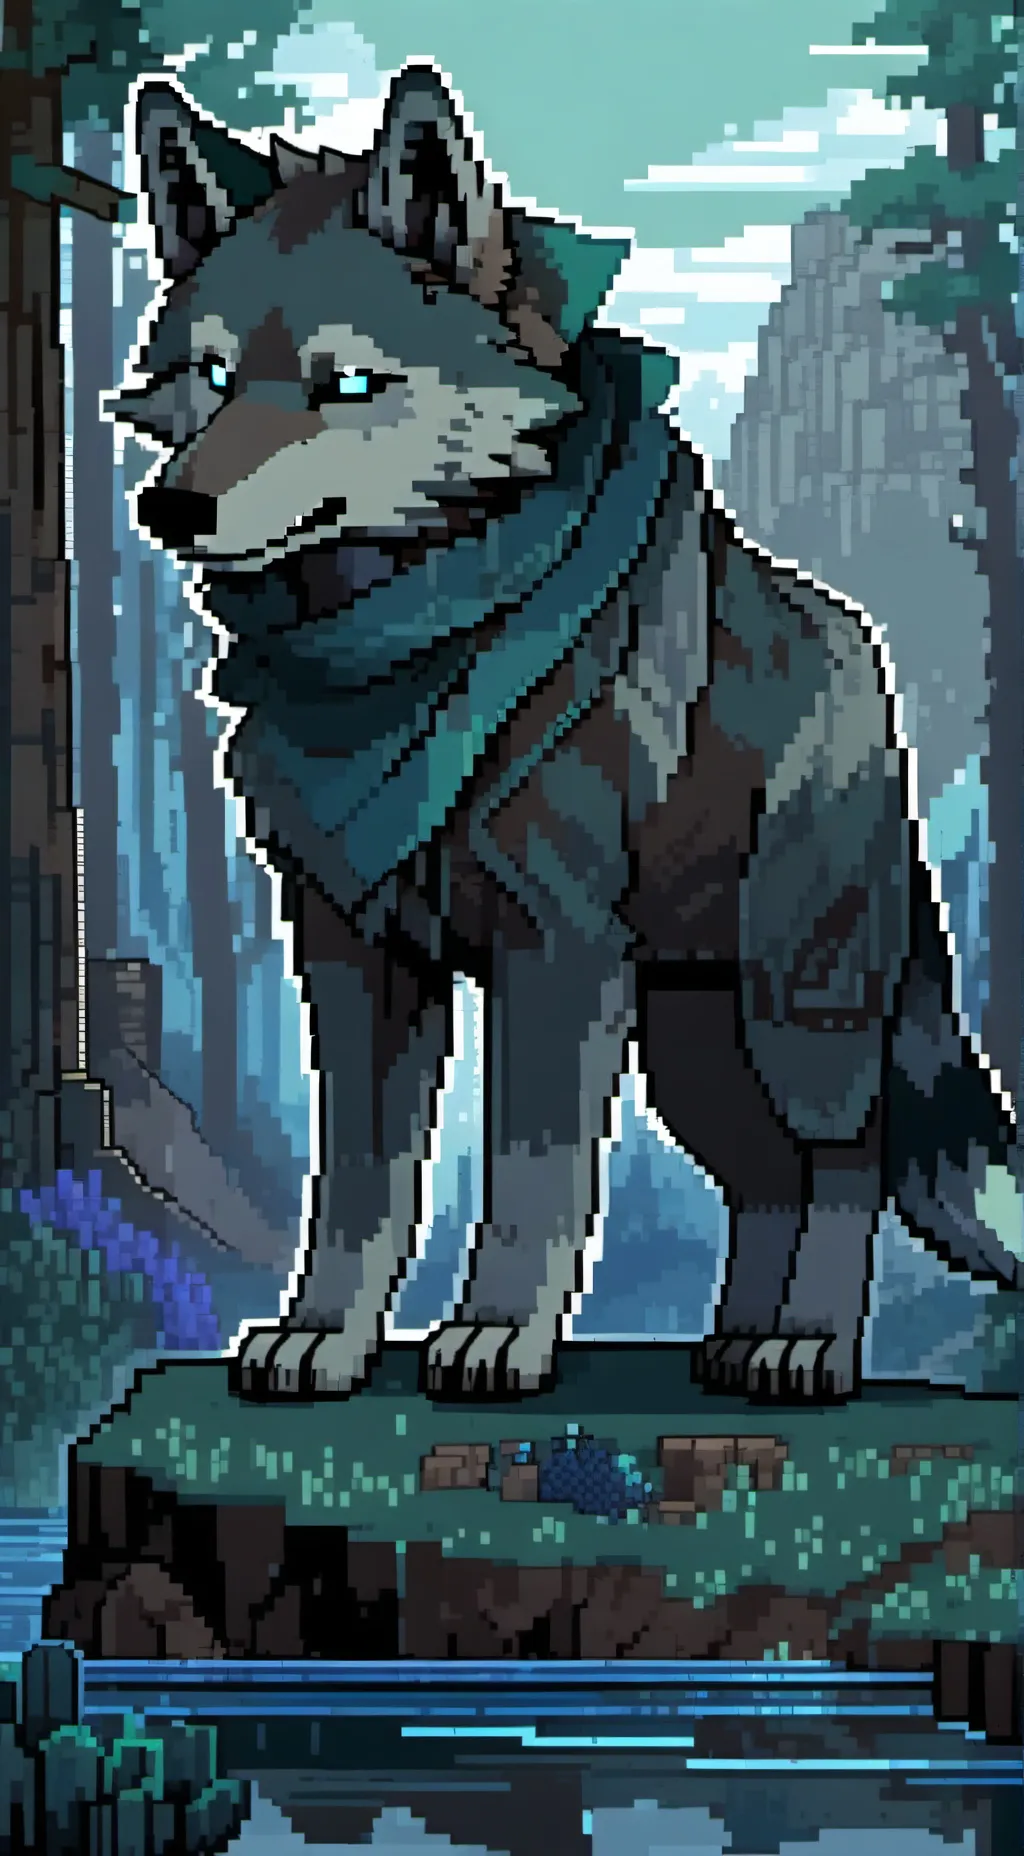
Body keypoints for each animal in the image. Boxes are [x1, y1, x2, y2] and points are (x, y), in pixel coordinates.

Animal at [110, 62, 1020, 1407]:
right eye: (214, 376)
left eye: (348, 385)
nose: (173, 507)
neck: (407, 647)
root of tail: (864, 651)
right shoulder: (353, 954)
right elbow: (360, 1189)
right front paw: (323, 1335)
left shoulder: (556, 952)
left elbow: (532, 1174)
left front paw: (493, 1332)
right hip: (691, 1045)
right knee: (766, 1180)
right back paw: (733, 1342)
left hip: (790, 1012)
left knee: (844, 1164)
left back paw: (808, 1344)